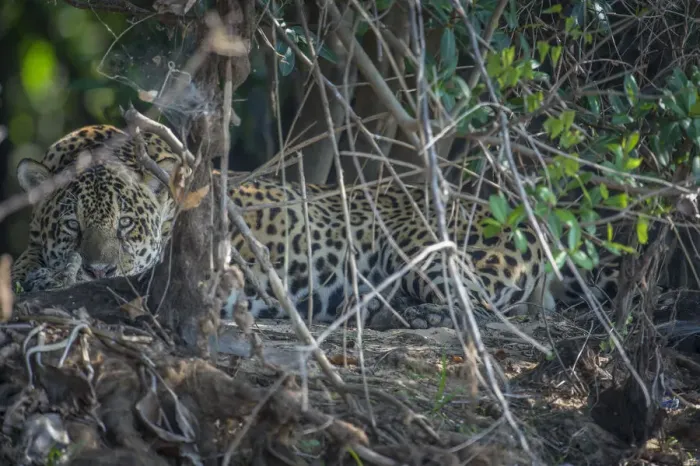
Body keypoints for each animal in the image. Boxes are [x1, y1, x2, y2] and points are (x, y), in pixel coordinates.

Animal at [10, 124, 620, 329]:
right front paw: (37, 270)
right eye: (72, 225)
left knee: (482, 305)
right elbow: (27, 261)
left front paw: (58, 280)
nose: (96, 265)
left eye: (126, 226)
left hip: (427, 246)